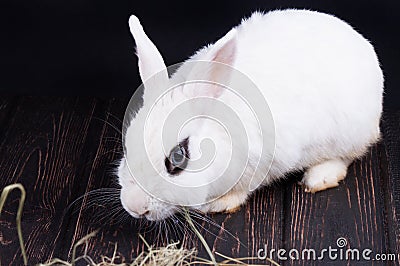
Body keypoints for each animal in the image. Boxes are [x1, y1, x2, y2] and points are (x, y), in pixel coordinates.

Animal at [119, 9, 384, 220]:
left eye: (178, 157)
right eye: (127, 147)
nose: (135, 206)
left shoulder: (265, 161)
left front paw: (220, 203)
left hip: (348, 134)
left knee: (348, 155)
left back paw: (319, 178)